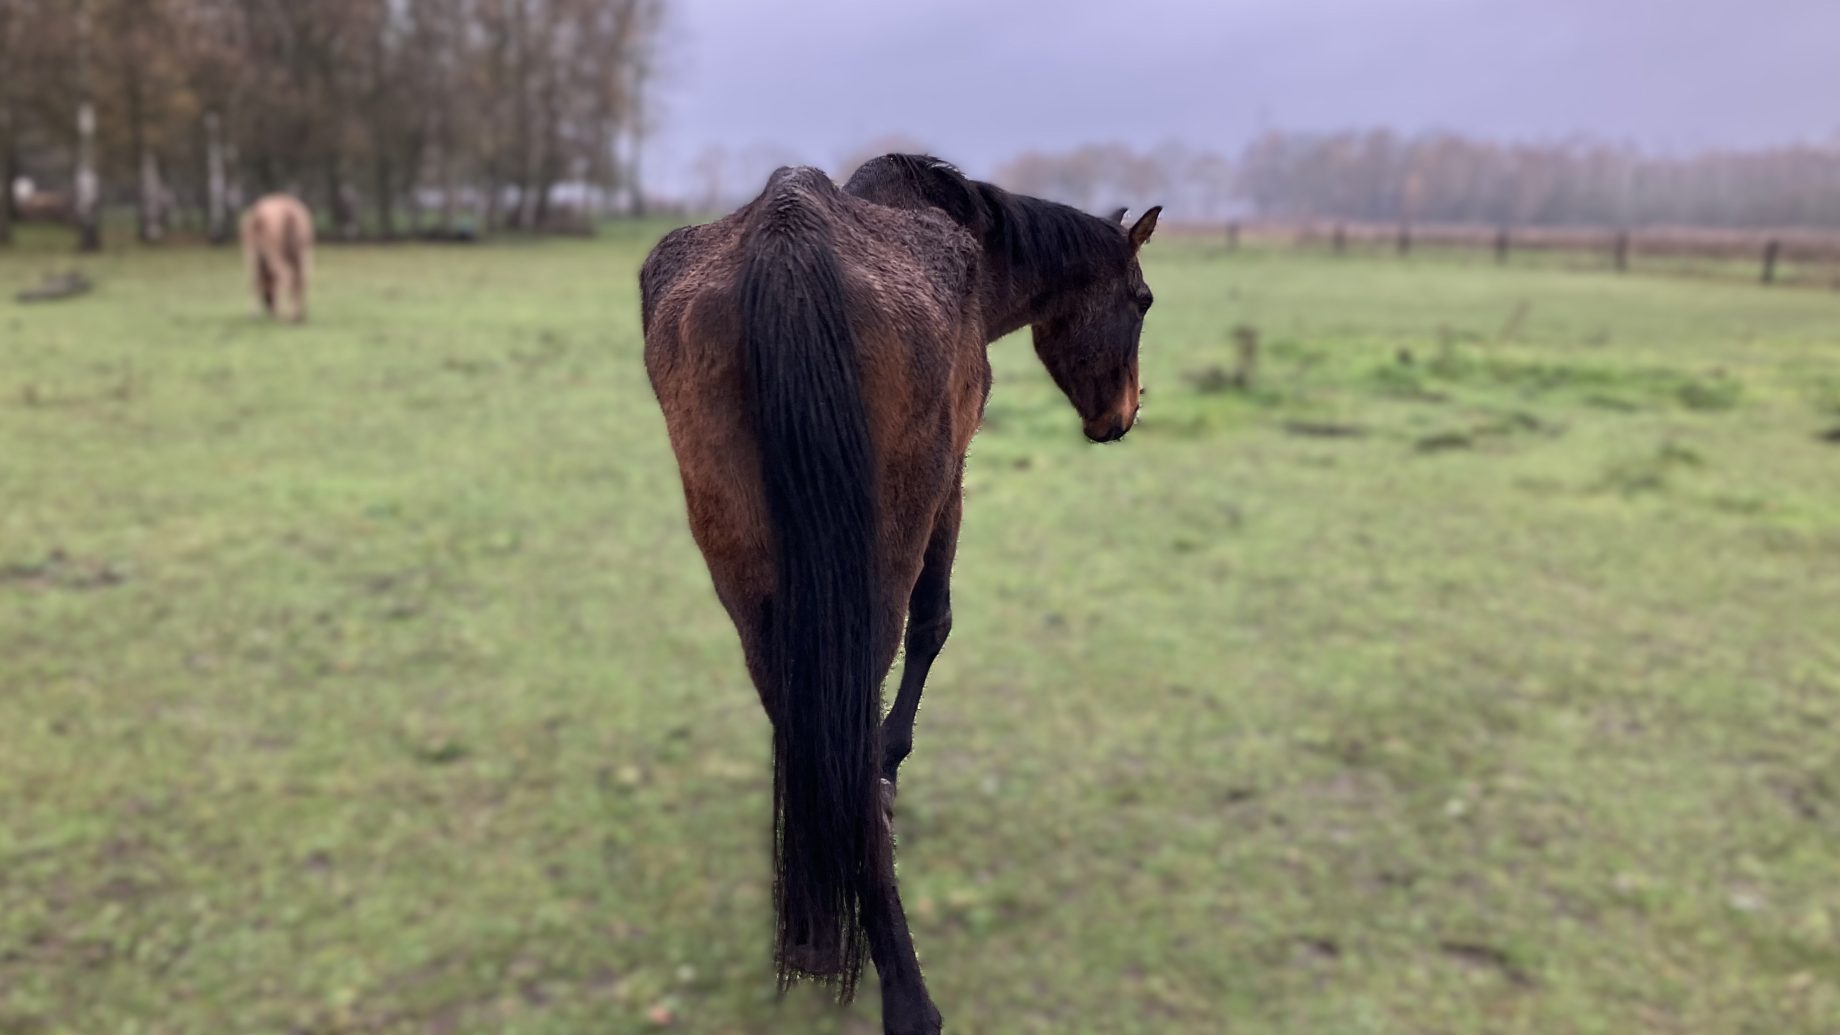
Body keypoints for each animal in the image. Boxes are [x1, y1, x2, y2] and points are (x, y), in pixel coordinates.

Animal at [239, 193, 314, 322]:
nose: (270, 306)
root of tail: (290, 212)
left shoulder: (251, 252)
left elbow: (255, 280)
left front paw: (253, 314)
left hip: (272, 252)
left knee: (285, 274)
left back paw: (283, 313)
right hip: (302, 253)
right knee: (301, 279)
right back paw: (298, 315)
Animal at [639, 155, 1159, 1035]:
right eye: (1144, 300)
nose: (1122, 415)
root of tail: (786, 239)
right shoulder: (952, 483)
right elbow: (934, 627)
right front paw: (890, 767)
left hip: (747, 570)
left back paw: (815, 920)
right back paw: (905, 991)